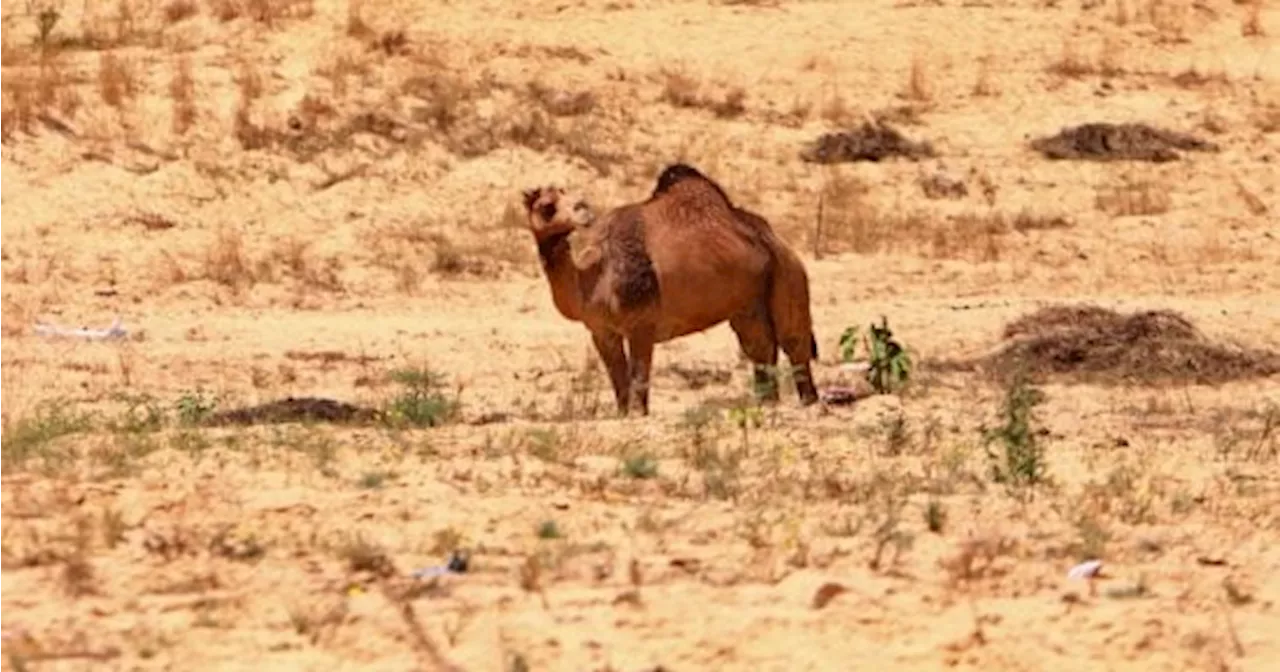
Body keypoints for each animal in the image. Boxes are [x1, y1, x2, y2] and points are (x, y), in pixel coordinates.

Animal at [519, 162, 819, 414]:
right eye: (547, 205)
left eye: (567, 196)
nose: (583, 209)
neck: (593, 278)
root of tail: (772, 237)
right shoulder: (601, 332)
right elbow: (618, 378)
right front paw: (623, 413)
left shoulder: (641, 323)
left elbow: (639, 374)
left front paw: (637, 413)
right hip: (747, 305)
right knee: (760, 344)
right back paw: (766, 403)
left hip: (788, 272)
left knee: (794, 340)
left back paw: (809, 402)